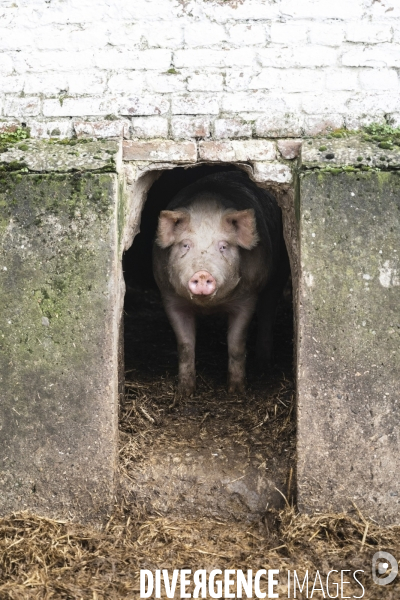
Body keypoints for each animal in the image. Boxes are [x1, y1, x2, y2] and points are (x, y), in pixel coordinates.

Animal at [152, 171, 288, 396]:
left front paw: (236, 390)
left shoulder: (247, 297)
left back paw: (264, 364)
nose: (202, 274)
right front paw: (185, 391)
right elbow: (185, 345)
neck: (209, 307)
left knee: (268, 312)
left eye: (223, 246)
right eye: (185, 245)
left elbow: (236, 344)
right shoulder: (169, 296)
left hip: (279, 274)